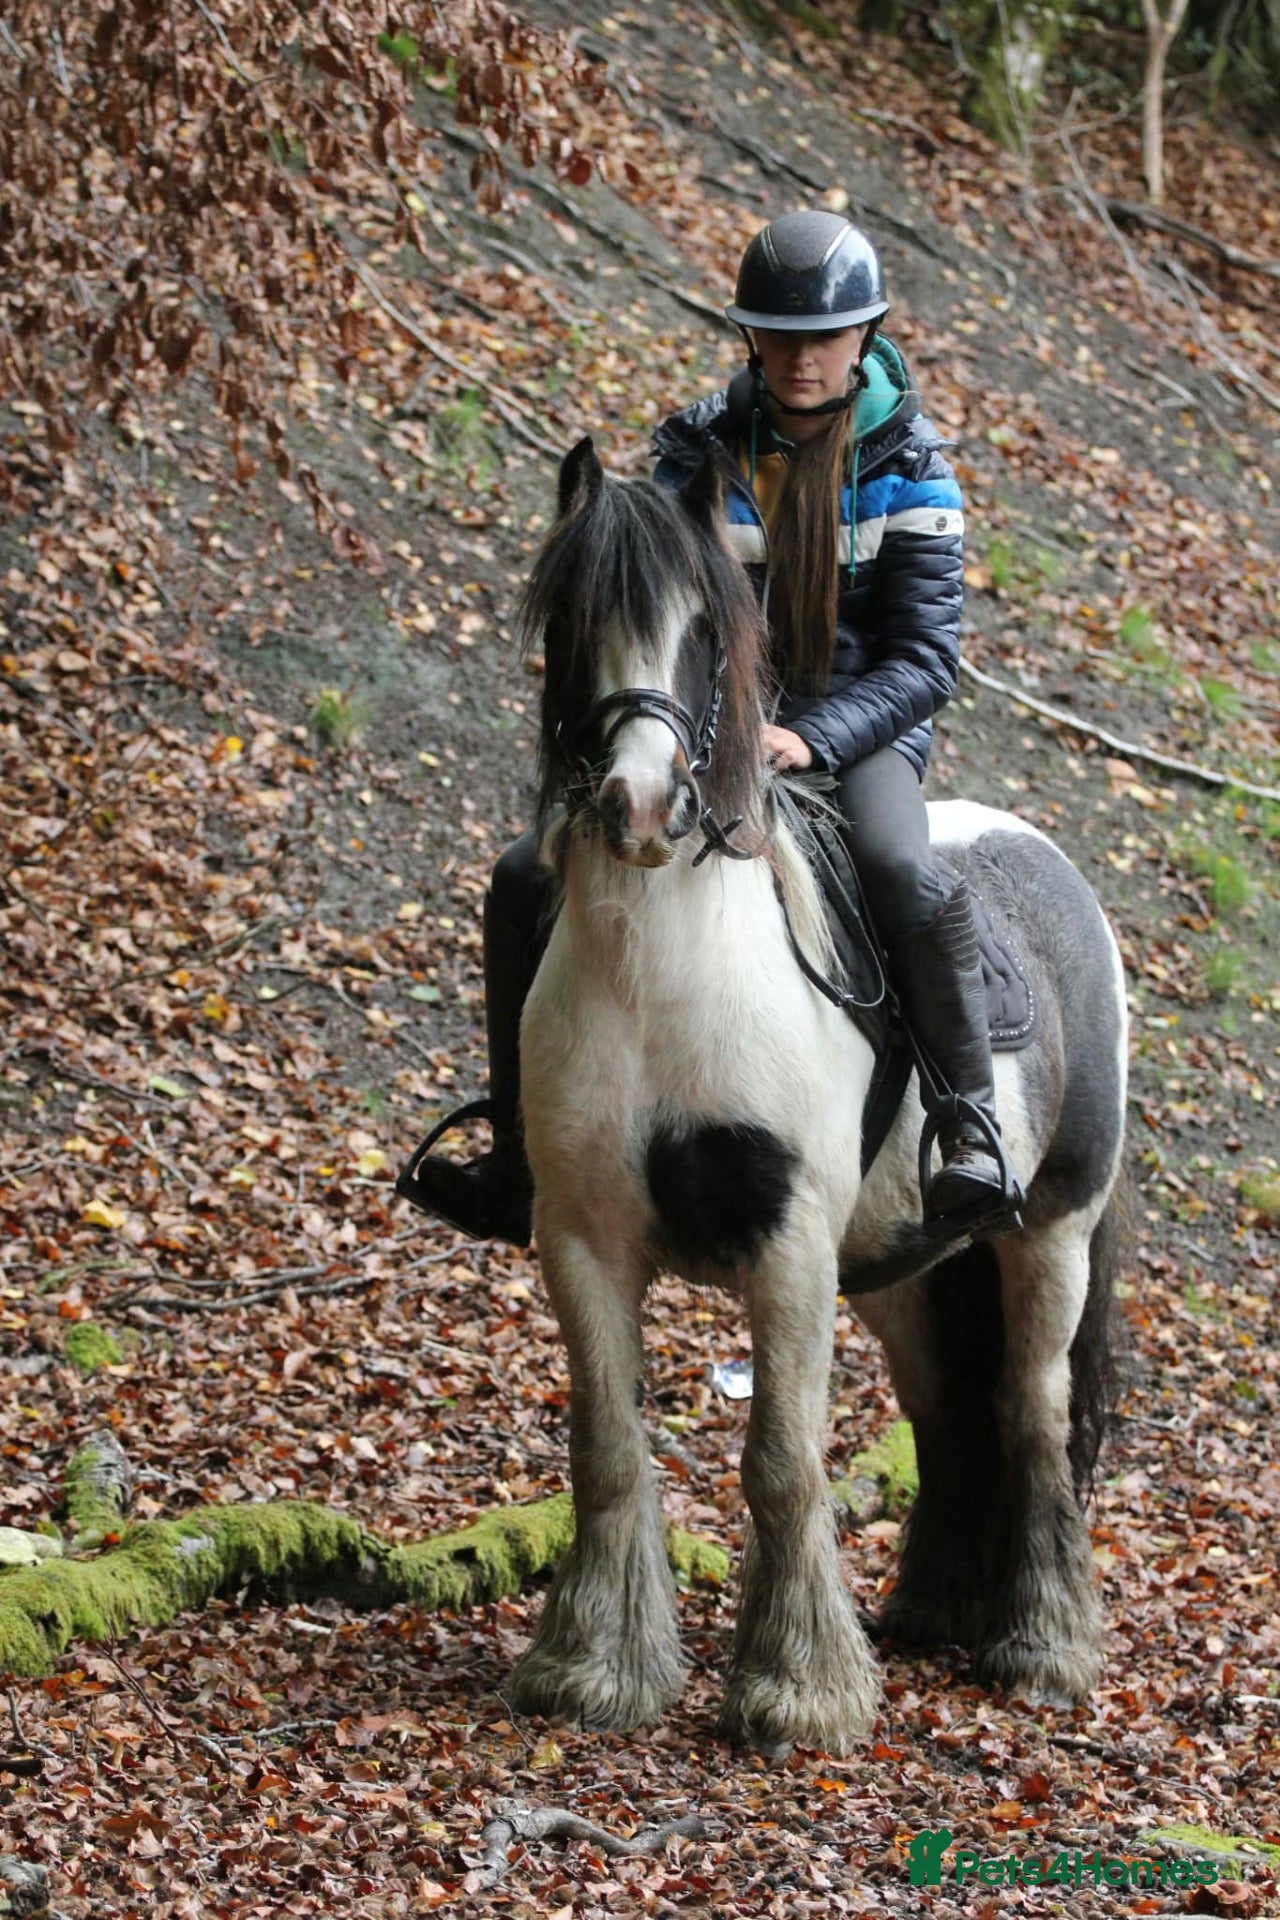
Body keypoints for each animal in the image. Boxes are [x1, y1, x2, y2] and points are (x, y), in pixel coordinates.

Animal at [504, 436, 1127, 1757]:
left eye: (704, 630)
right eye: (572, 621)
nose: (640, 806)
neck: (667, 977)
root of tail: (1056, 871)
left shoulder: (786, 1244)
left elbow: (780, 1459)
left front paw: (797, 1691)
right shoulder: (578, 1235)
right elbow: (607, 1446)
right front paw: (595, 1666)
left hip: (1049, 1233)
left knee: (1031, 1411)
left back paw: (1040, 1649)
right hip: (904, 1265)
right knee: (946, 1414)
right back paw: (929, 1614)